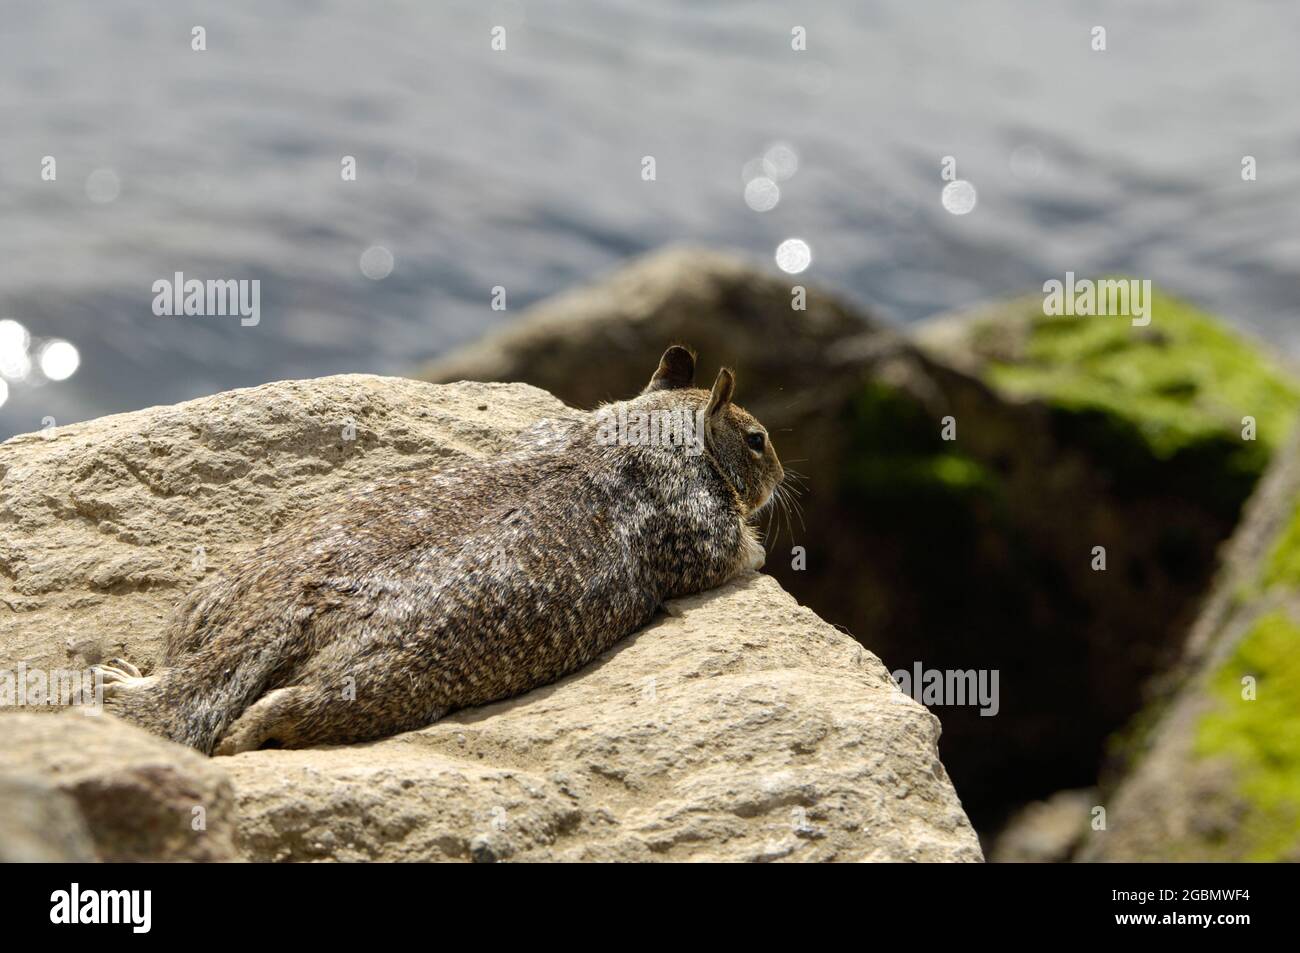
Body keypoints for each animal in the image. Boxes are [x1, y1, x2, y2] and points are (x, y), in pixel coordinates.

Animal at [96, 347, 786, 755]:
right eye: (758, 440)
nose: (781, 476)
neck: (632, 434)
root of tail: (285, 611)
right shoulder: (698, 523)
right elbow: (734, 554)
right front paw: (760, 549)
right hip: (374, 683)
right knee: (279, 714)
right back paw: (240, 734)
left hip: (210, 598)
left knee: (185, 660)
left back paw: (126, 677)